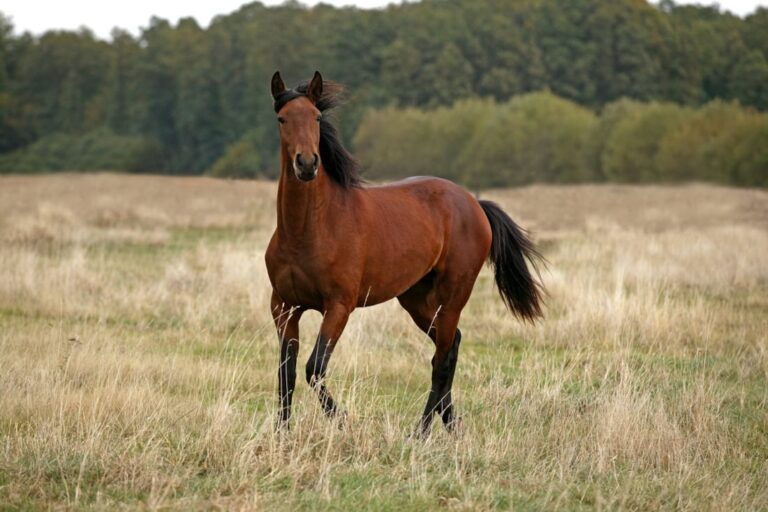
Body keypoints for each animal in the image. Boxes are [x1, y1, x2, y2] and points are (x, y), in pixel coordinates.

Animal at [266, 71, 544, 435]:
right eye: (282, 119)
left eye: (315, 117)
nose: (307, 163)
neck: (307, 232)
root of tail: (474, 203)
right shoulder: (284, 307)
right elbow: (286, 373)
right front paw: (282, 434)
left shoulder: (339, 306)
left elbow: (314, 368)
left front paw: (344, 421)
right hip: (415, 300)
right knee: (451, 344)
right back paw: (450, 424)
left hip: (453, 297)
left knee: (442, 360)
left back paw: (422, 432)